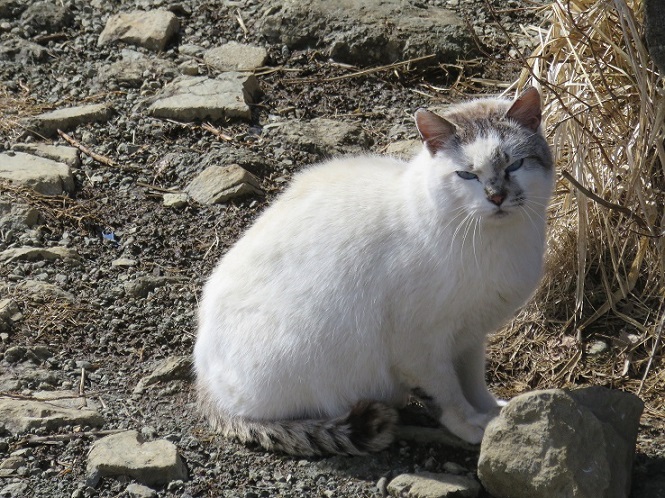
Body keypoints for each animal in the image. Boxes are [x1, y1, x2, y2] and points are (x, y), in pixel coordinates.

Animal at [193, 86, 556, 456]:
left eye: (515, 165)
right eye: (467, 175)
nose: (496, 197)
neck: (492, 240)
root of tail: (204, 384)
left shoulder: (470, 334)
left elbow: (473, 381)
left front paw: (497, 414)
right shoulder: (421, 345)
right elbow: (447, 393)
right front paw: (474, 425)